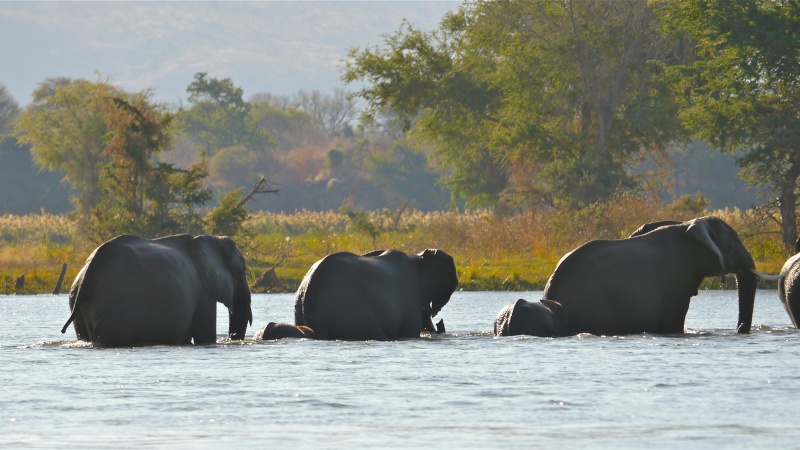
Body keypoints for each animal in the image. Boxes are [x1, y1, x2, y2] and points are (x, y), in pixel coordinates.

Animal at [59, 234, 252, 346]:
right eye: (243, 270)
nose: (232, 338)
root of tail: (90, 270)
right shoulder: (203, 290)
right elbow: (205, 338)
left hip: (76, 298)